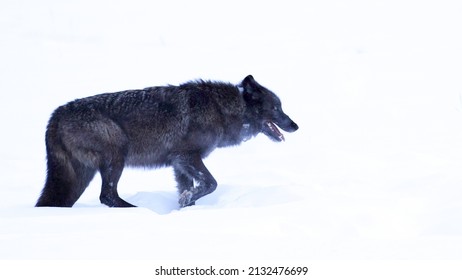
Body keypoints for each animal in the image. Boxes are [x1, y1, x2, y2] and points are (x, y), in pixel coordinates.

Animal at [34, 75, 298, 208]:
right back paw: (136, 211)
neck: (220, 109)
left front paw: (185, 205)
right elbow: (211, 183)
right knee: (107, 196)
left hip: (79, 177)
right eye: (277, 108)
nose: (295, 125)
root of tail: (56, 115)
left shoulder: (179, 164)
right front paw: (186, 200)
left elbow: (191, 188)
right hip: (116, 156)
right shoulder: (187, 156)